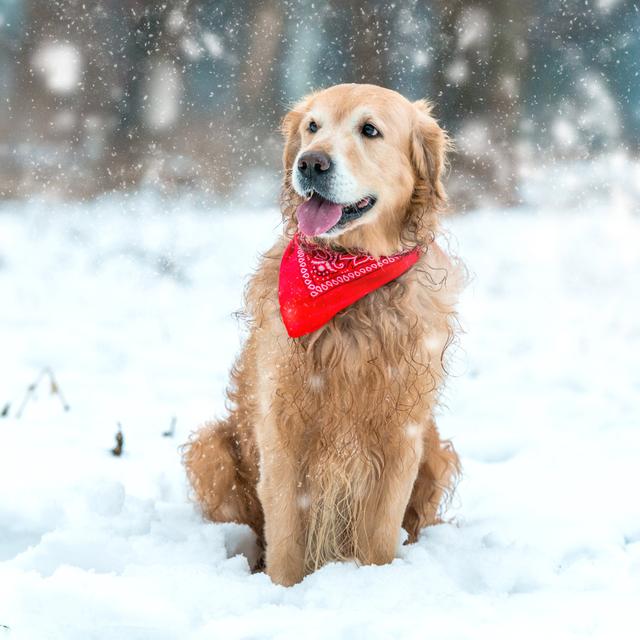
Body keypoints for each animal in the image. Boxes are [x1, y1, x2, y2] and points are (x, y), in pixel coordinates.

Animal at [182, 84, 462, 584]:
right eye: (312, 126)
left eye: (370, 130)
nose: (311, 163)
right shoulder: (282, 429)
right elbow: (287, 538)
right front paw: (283, 590)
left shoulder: (402, 435)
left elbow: (380, 537)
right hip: (209, 448)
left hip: (437, 454)